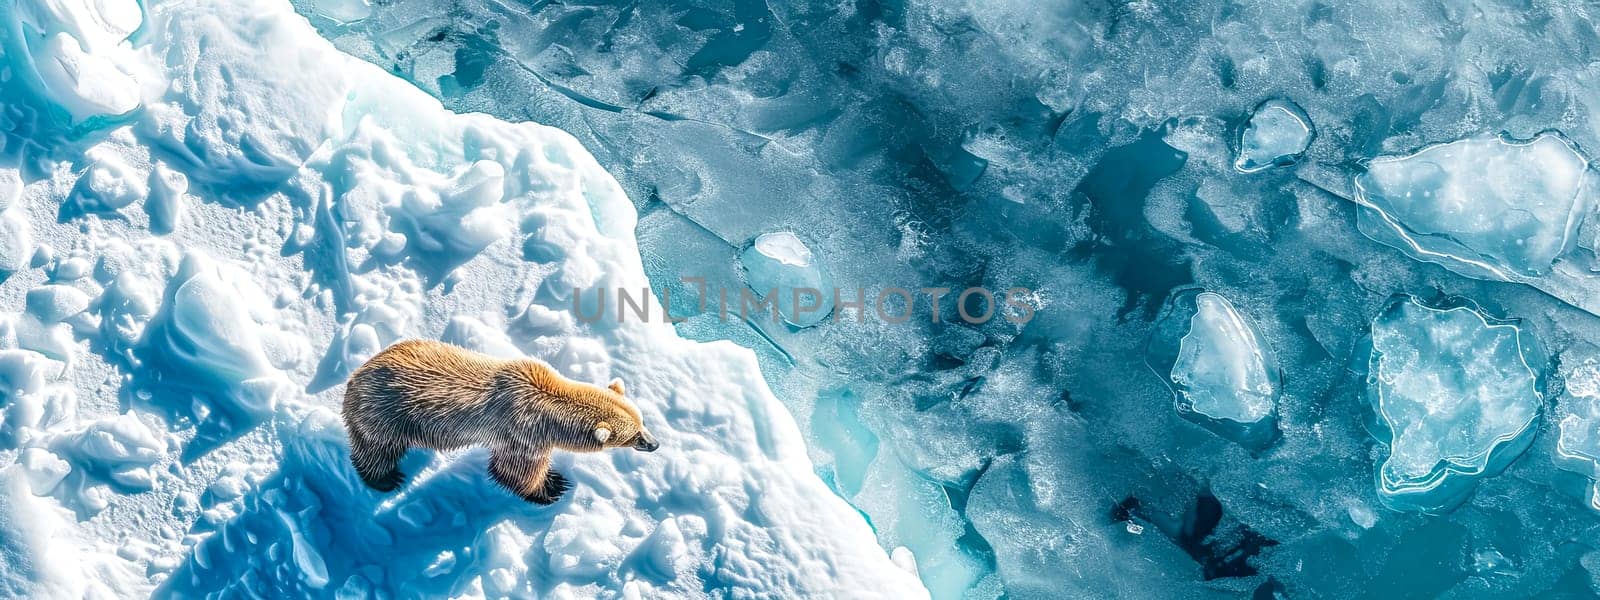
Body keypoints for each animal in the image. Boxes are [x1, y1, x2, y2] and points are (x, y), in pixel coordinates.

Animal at [340, 340, 659, 505]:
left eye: (642, 421)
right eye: (633, 436)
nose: (655, 444)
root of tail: (353, 379)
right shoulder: (523, 433)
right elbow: (515, 470)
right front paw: (552, 487)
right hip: (385, 417)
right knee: (375, 451)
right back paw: (386, 479)